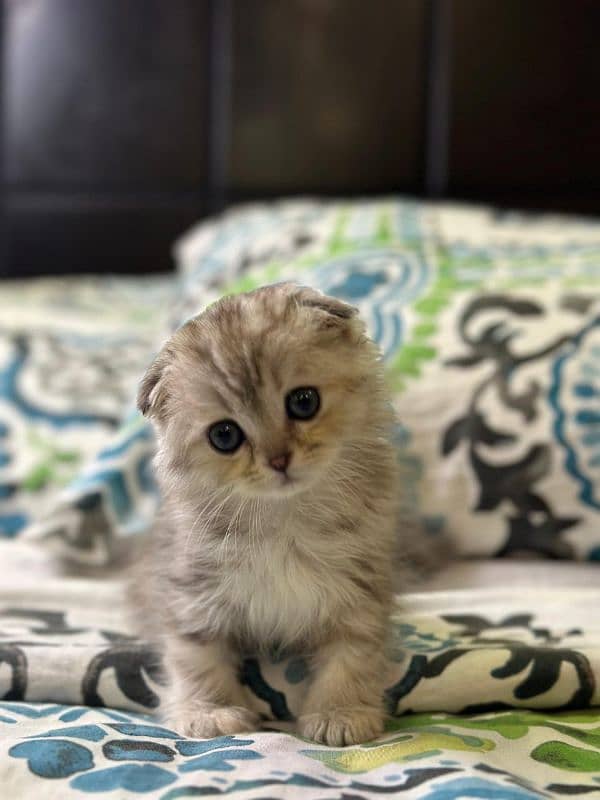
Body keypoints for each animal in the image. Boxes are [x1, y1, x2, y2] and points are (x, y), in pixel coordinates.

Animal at [134, 284, 400, 748]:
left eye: (304, 402)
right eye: (224, 436)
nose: (278, 460)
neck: (284, 520)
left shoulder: (360, 588)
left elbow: (352, 655)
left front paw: (340, 712)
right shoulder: (191, 589)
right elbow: (196, 654)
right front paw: (211, 711)